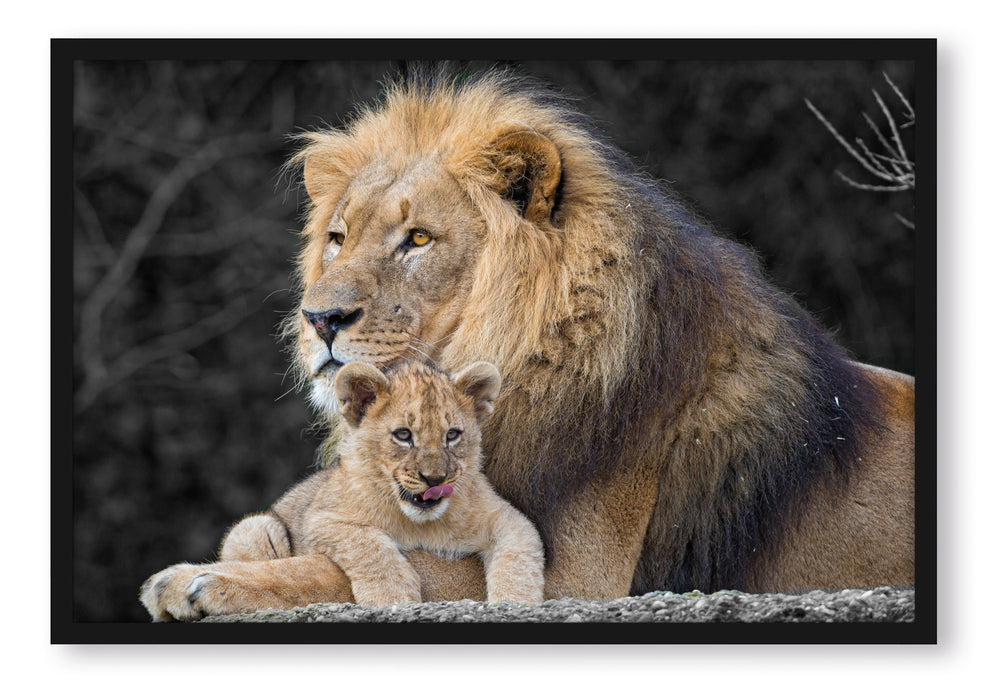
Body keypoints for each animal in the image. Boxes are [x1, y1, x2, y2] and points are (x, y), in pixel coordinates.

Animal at [141, 359, 543, 620]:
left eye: (452, 435)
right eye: (403, 435)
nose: (434, 479)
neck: (422, 522)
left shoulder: (507, 519)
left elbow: (520, 558)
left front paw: (514, 605)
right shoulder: (324, 519)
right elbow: (370, 546)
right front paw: (392, 597)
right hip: (255, 528)